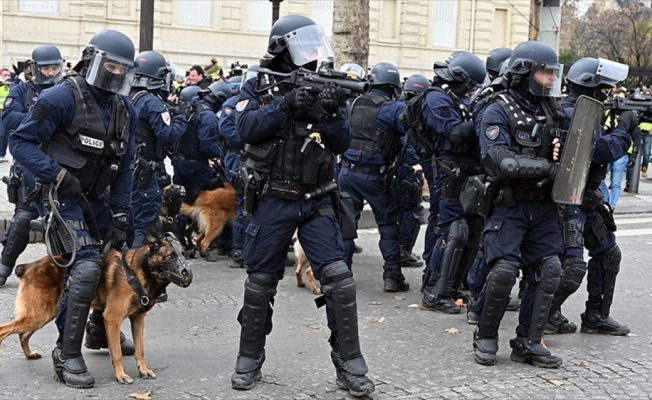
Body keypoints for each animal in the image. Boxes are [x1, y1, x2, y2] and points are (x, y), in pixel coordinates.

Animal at [0, 234, 194, 384]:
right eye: (170, 256)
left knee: (22, 334)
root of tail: (29, 266)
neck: (137, 272)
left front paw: (143, 370)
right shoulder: (112, 319)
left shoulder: (138, 320)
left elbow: (140, 350)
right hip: (39, 315)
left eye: (183, 254)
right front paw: (121, 375)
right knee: (5, 330)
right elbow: (117, 353)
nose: (187, 274)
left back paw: (29, 353)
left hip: (43, 315)